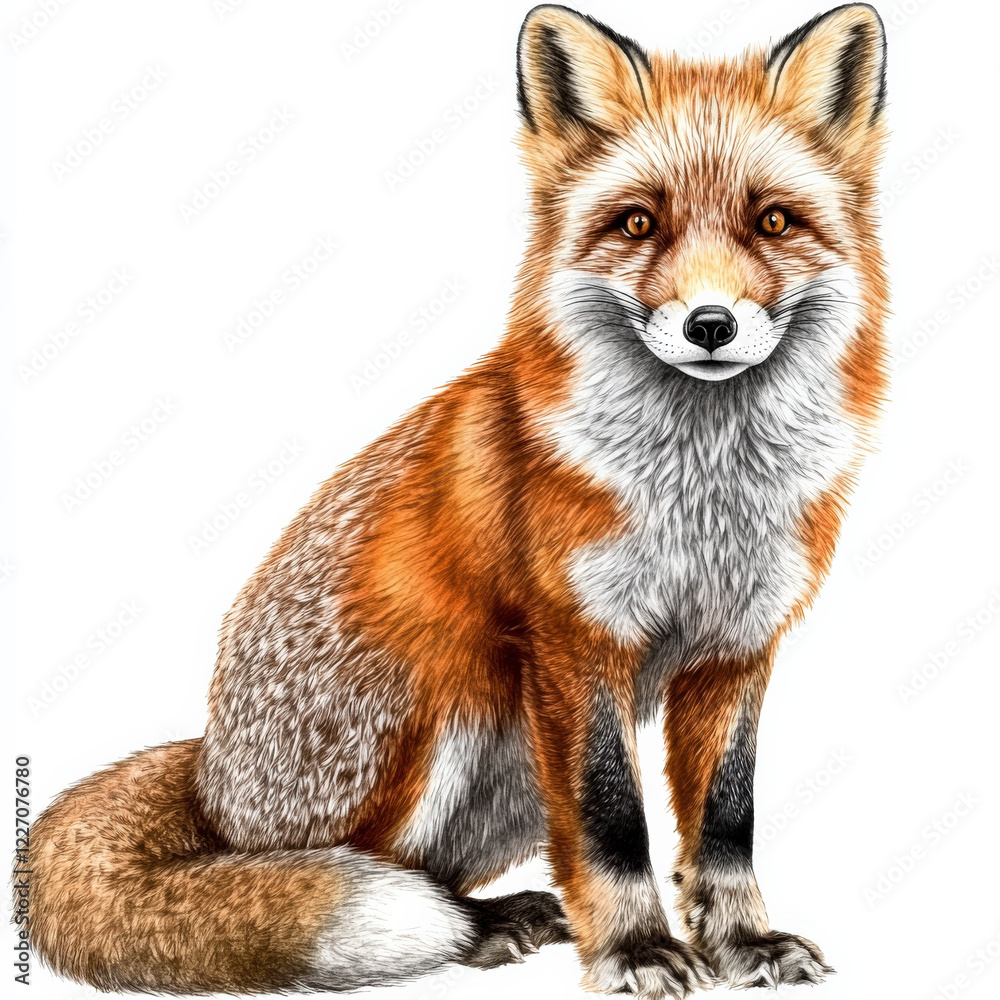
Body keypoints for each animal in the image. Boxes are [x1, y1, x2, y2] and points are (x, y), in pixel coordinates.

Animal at [25, 4, 888, 998]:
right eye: (639, 223)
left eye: (773, 221)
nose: (711, 324)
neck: (703, 495)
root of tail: (211, 773)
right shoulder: (574, 643)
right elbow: (611, 823)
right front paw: (636, 948)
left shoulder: (738, 648)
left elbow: (724, 823)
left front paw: (743, 942)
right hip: (446, 704)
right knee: (355, 872)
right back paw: (472, 930)